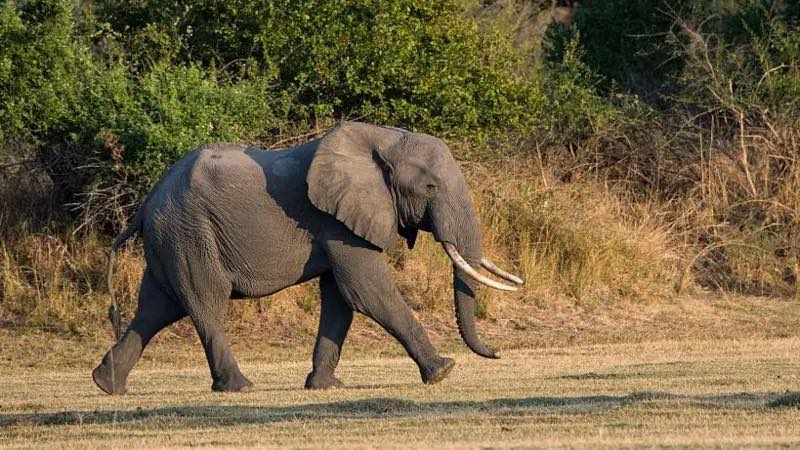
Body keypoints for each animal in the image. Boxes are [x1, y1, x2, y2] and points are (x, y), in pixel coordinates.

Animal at [92, 122, 523, 394]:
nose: (498, 352)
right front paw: (443, 372)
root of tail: (147, 203)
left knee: (156, 309)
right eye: (430, 187)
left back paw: (107, 385)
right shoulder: (336, 223)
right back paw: (239, 388)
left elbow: (340, 299)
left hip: (172, 239)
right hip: (189, 234)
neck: (384, 139)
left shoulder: (339, 224)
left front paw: (325, 386)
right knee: (205, 305)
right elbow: (367, 291)